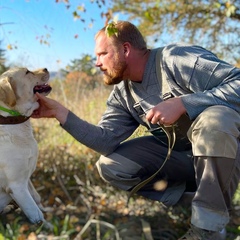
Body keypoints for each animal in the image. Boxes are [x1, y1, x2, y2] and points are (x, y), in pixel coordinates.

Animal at [0, 68, 52, 227]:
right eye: (27, 72)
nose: (46, 68)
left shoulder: (27, 177)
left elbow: (36, 198)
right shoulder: (17, 185)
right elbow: (35, 212)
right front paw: (46, 227)